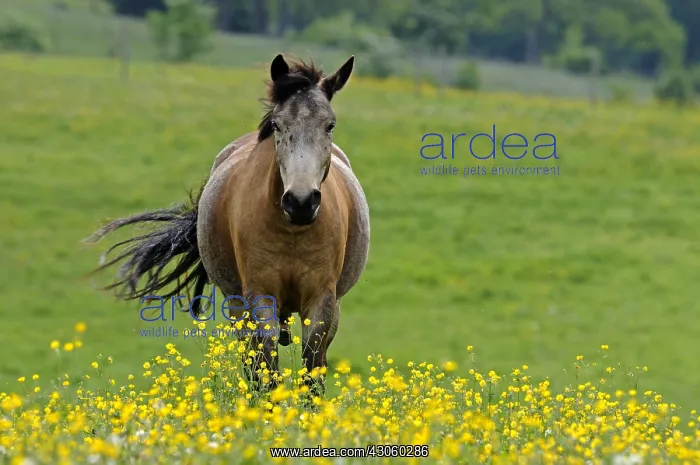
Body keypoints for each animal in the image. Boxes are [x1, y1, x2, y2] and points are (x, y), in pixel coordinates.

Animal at [85, 54, 370, 394]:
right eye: (277, 125)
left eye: (329, 125)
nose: (301, 202)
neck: (292, 231)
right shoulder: (259, 298)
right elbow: (266, 375)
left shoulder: (322, 301)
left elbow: (312, 376)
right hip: (238, 308)